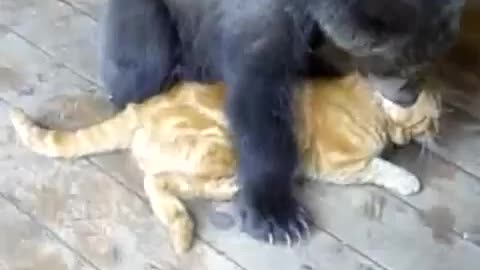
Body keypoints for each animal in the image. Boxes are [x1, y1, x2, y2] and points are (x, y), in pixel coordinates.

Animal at [9, 71, 440, 253]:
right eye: (433, 117)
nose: (439, 129)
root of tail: (141, 108)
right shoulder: (343, 164)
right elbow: (382, 167)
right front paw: (406, 177)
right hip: (222, 147)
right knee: (157, 180)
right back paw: (224, 192)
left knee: (158, 182)